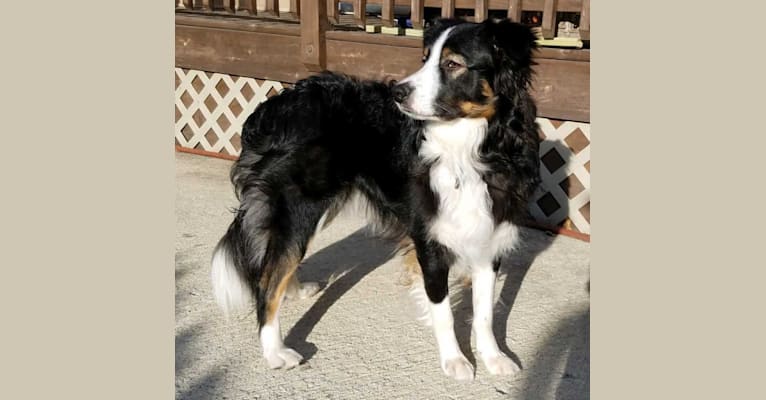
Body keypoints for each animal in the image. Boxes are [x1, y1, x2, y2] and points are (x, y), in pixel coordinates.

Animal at [213, 18, 544, 382]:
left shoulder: (489, 233)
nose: (398, 92)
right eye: (425, 59)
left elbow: (484, 312)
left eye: (452, 64)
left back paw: (295, 292)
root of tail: (272, 107)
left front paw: (493, 356)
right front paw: (455, 360)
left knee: (277, 264)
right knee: (268, 278)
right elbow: (443, 310)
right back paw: (274, 351)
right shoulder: (429, 240)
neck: (472, 148)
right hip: (299, 206)